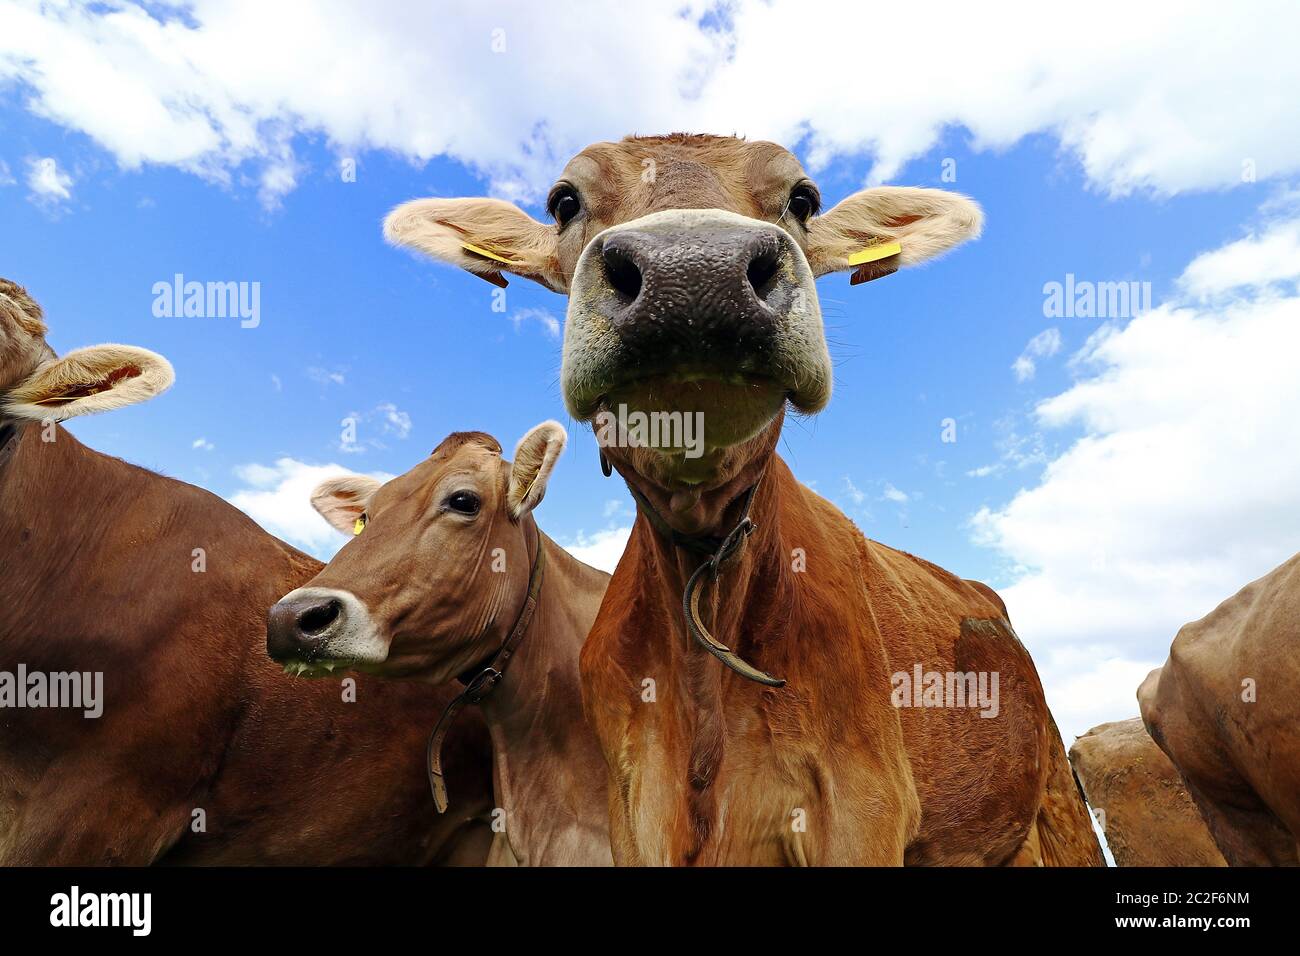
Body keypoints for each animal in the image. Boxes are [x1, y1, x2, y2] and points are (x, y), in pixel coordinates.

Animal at [381, 133, 1102, 866]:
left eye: (803, 199)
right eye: (564, 202)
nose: (695, 272)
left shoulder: (864, 808)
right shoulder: (631, 811)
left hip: (1058, 802)